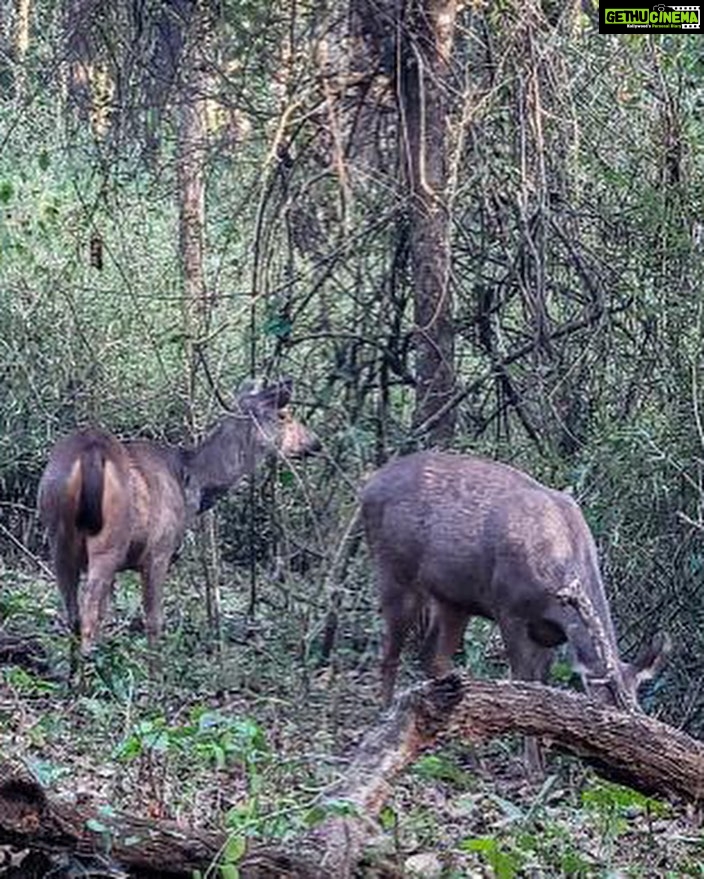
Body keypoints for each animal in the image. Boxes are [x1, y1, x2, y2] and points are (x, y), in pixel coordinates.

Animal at [35, 374, 316, 664]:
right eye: (283, 415)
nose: (314, 443)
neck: (190, 482)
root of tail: (90, 452)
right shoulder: (160, 549)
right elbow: (153, 621)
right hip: (109, 541)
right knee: (88, 617)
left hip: (57, 532)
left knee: (73, 615)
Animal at [364, 450, 672, 768]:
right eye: (608, 713)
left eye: (636, 710)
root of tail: (370, 483)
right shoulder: (509, 609)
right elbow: (524, 684)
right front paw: (532, 767)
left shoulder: (549, 634)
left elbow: (543, 688)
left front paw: (541, 762)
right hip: (394, 569)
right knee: (389, 652)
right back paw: (386, 724)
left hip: (453, 598)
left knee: (432, 656)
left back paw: (468, 752)